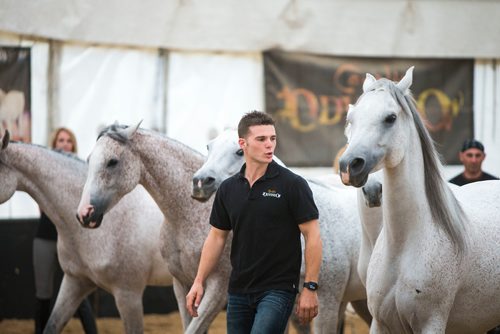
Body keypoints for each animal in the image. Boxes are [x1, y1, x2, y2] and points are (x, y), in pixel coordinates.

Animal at [338, 66, 500, 332]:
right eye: (351, 118)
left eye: (390, 118)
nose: (349, 166)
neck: (403, 244)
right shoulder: (380, 322)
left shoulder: (430, 323)